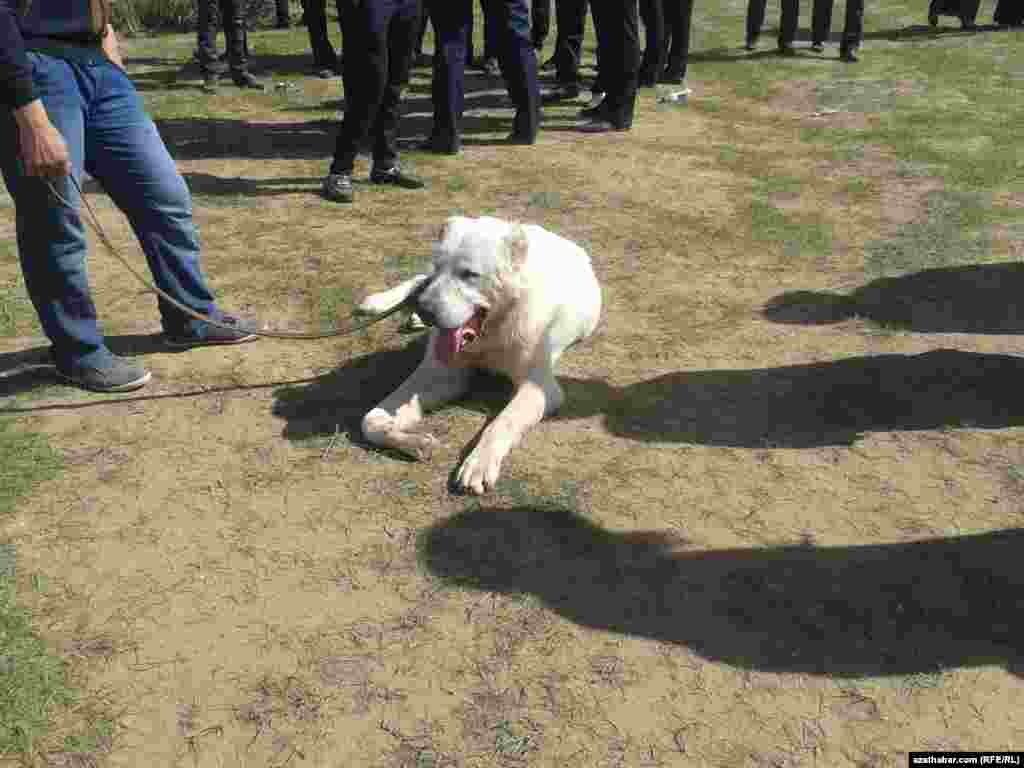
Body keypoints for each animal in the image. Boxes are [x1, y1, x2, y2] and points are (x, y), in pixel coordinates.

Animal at [358, 215, 598, 499]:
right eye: (439, 266)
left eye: (469, 274)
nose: (425, 311)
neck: (490, 333)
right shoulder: (442, 375)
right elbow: (370, 421)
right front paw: (414, 441)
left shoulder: (539, 387)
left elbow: (503, 422)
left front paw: (479, 464)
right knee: (420, 279)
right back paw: (382, 303)